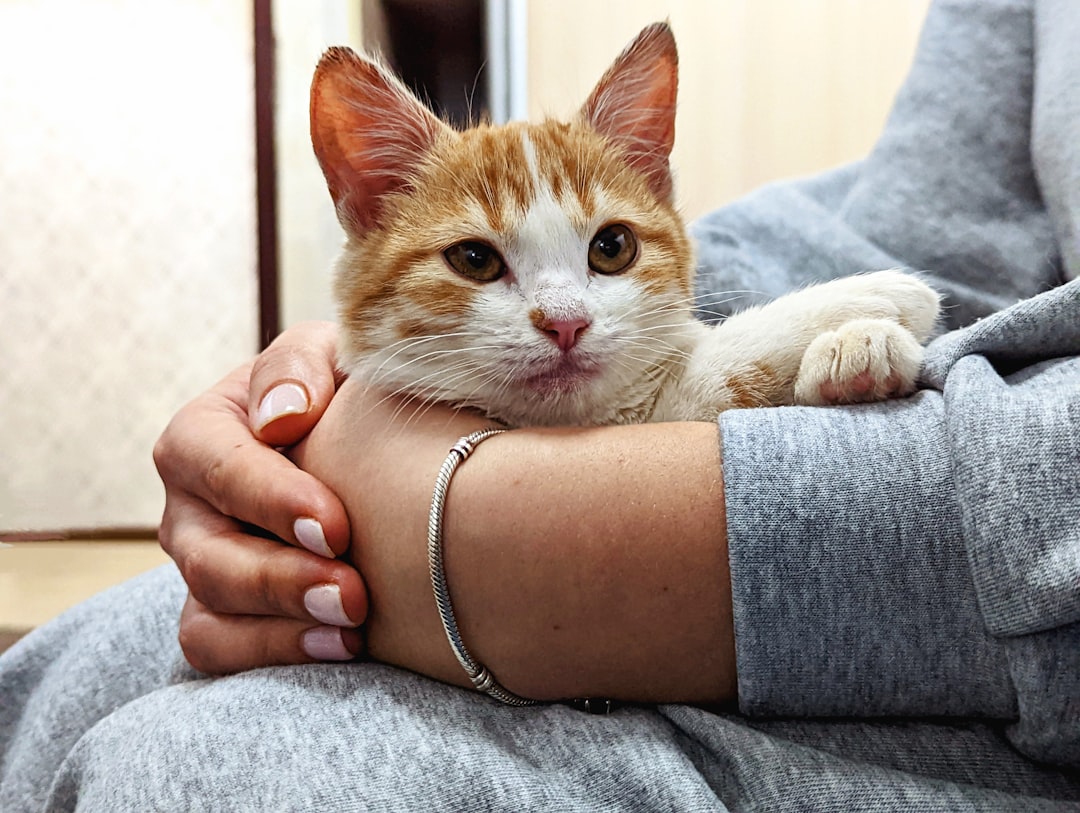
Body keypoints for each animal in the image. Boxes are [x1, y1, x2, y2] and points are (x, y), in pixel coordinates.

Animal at [308, 22, 941, 427]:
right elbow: (716, 372)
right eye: (473, 259)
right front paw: (865, 301)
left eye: (612, 247)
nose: (565, 324)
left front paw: (858, 347)